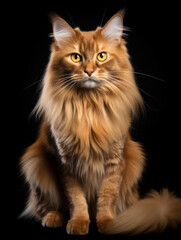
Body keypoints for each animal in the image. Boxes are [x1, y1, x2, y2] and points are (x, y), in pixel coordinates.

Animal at [19, 12, 181, 235]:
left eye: (101, 56)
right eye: (76, 57)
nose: (89, 71)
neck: (89, 107)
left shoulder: (114, 161)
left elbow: (107, 197)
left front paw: (108, 222)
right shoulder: (66, 163)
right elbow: (76, 199)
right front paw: (78, 222)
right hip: (35, 161)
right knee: (47, 207)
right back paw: (54, 217)